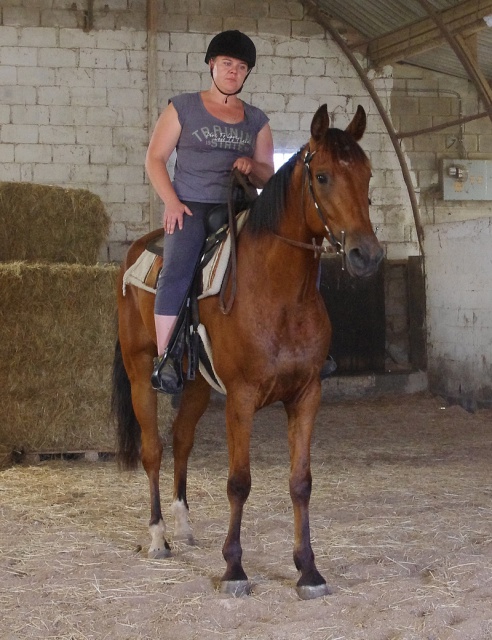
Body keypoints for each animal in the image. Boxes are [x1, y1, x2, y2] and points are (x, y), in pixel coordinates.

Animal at [112, 102, 384, 596]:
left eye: (368, 174)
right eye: (323, 177)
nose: (365, 255)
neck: (278, 292)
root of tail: (137, 249)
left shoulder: (306, 395)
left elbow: (301, 482)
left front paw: (308, 570)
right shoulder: (240, 397)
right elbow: (239, 482)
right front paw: (235, 568)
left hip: (197, 384)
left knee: (181, 440)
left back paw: (184, 527)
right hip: (140, 370)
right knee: (153, 449)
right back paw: (159, 536)